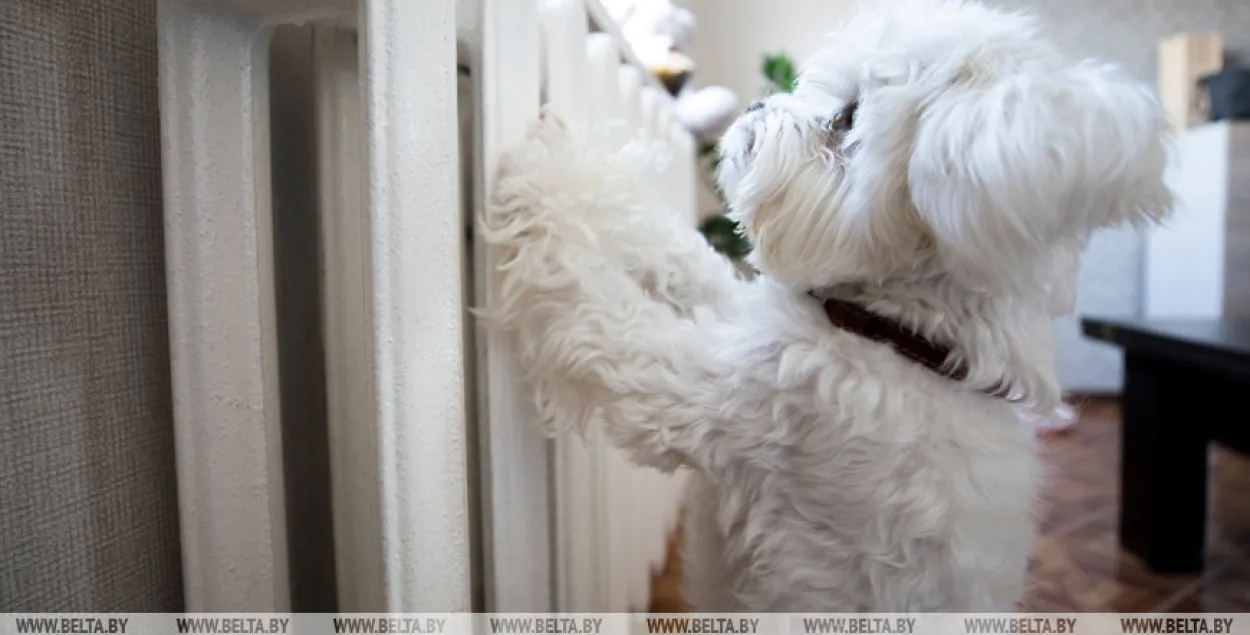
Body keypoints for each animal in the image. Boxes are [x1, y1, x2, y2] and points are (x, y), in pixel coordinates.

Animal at [480, 0, 1170, 612]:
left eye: (848, 116)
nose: (756, 104)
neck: (901, 334)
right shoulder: (753, 319)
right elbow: (679, 252)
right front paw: (590, 170)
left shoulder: (715, 398)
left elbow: (596, 301)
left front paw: (544, 173)